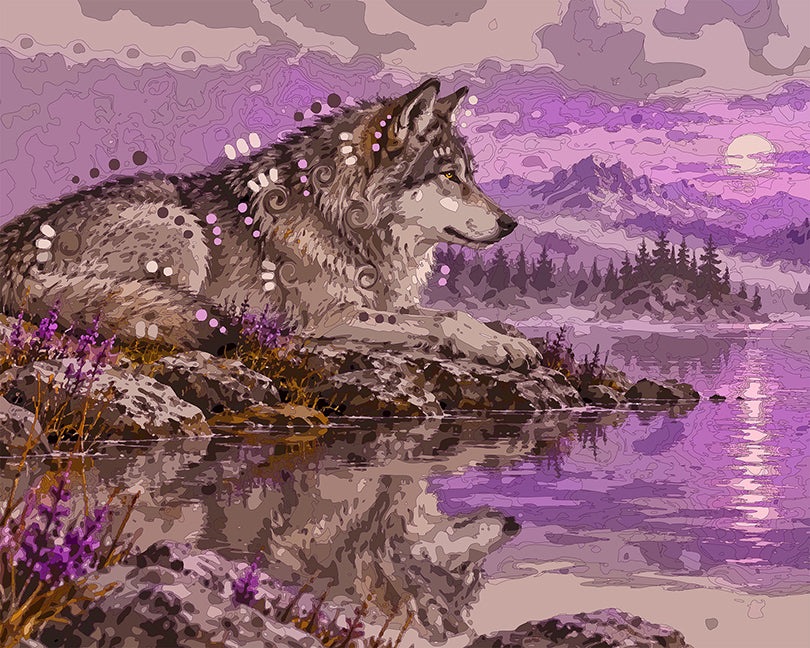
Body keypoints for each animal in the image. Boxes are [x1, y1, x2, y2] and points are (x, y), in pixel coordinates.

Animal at [0, 79, 540, 369]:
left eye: (472, 174)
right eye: (449, 175)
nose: (510, 223)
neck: (341, 220)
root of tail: (14, 250)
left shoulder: (388, 302)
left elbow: (453, 313)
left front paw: (509, 339)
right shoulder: (332, 319)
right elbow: (446, 319)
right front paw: (496, 345)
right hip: (180, 227)